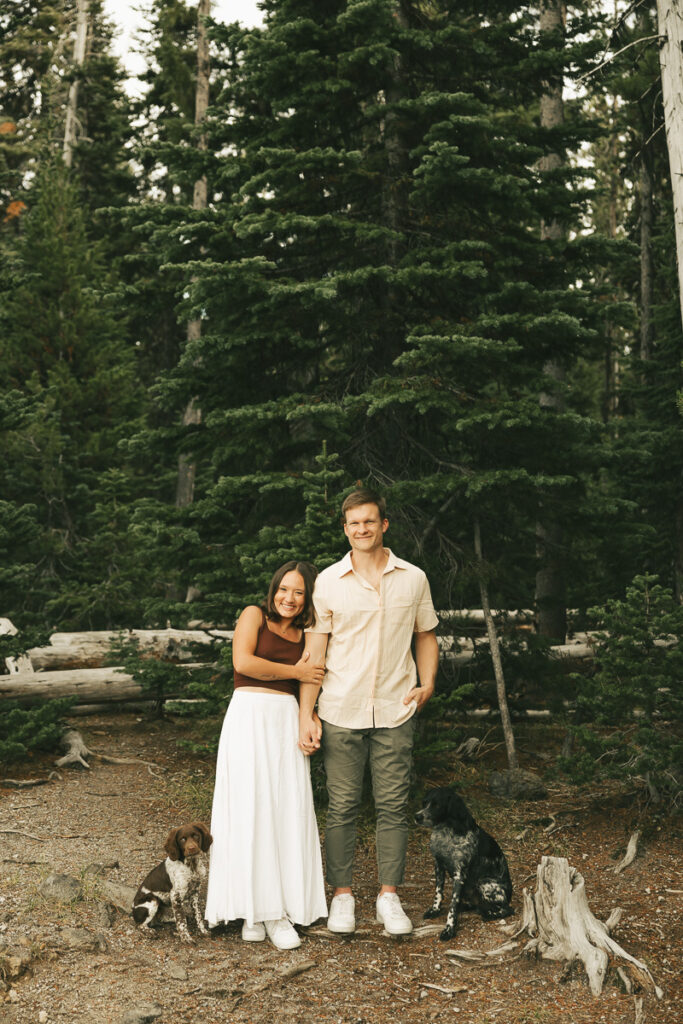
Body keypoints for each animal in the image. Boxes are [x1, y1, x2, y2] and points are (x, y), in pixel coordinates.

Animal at [417, 786, 511, 937]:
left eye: (437, 805)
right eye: (424, 803)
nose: (417, 816)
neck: (446, 832)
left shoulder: (459, 874)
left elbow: (452, 906)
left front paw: (449, 929)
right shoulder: (438, 865)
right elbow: (438, 893)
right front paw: (435, 910)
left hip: (484, 884)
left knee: (507, 909)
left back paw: (489, 914)